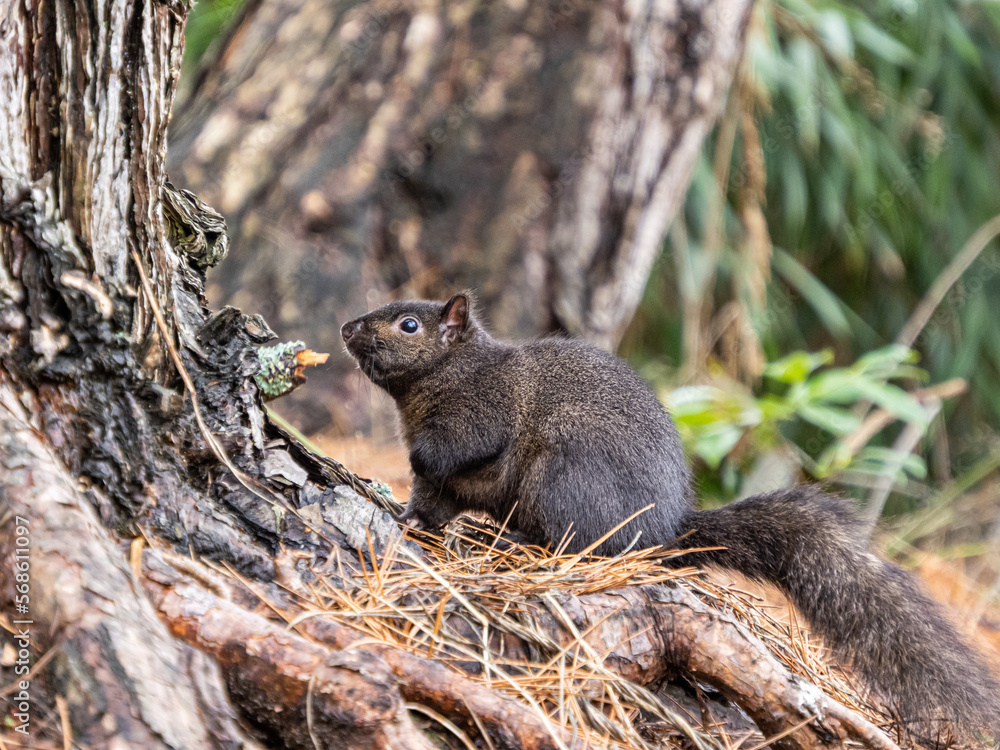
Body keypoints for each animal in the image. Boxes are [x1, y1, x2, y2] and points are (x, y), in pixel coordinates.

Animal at [342, 291, 1000, 736]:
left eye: (409, 324)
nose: (347, 327)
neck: (442, 376)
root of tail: (662, 534)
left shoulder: (482, 411)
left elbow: (460, 446)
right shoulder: (439, 486)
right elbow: (429, 502)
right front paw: (405, 519)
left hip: (563, 479)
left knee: (575, 544)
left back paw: (515, 540)